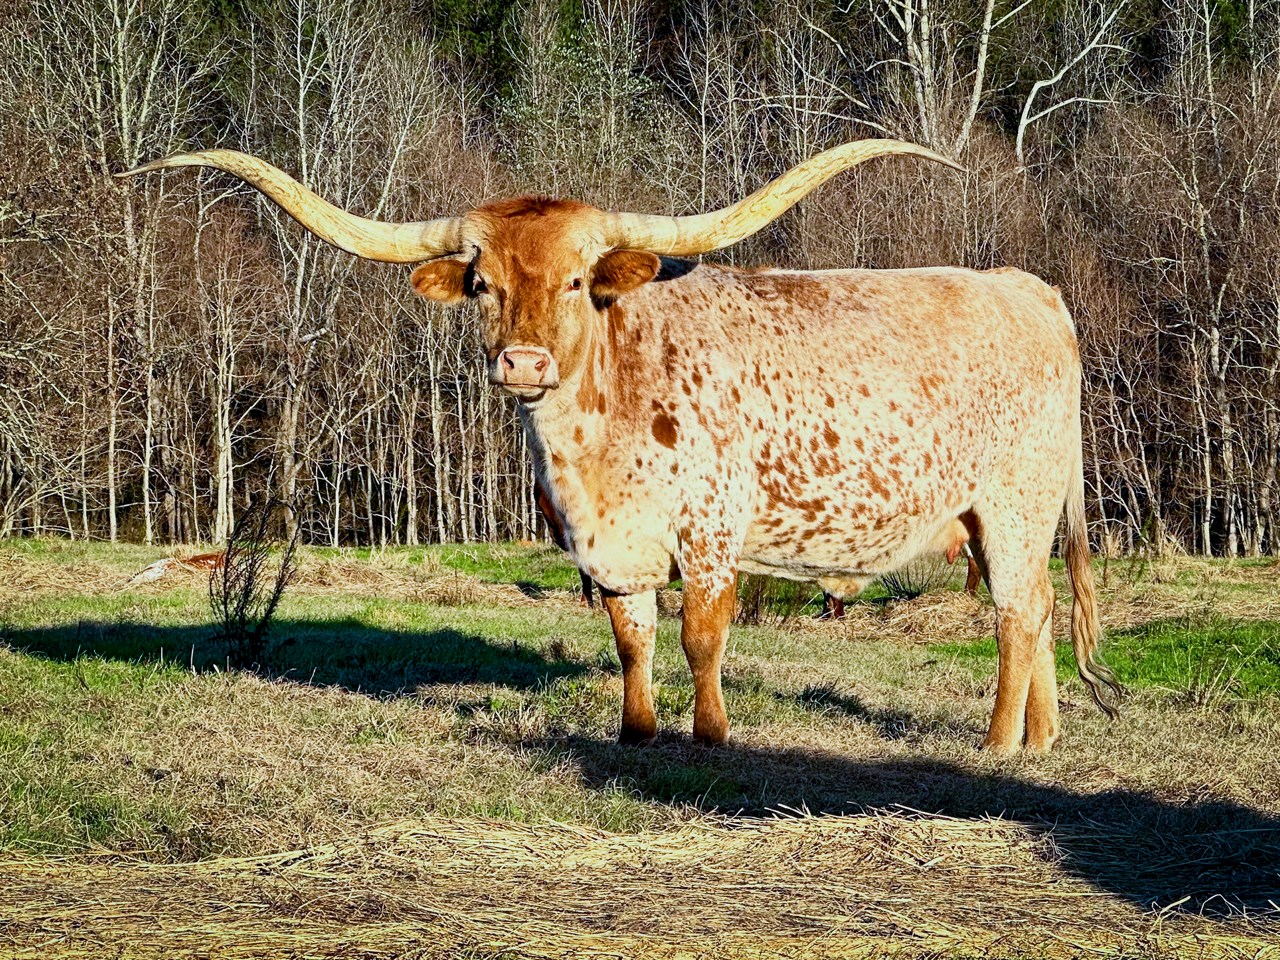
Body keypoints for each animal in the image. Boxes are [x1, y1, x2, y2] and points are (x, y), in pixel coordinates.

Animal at [121, 139, 1121, 752]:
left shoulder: (711, 531)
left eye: (575, 279)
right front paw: (637, 733)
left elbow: (700, 637)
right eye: (483, 283)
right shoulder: (609, 548)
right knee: (1035, 614)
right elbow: (632, 639)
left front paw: (710, 736)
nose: (522, 362)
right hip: (998, 519)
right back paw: (1042, 739)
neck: (592, 442)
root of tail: (1031, 288)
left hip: (1014, 504)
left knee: (1018, 613)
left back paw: (998, 741)